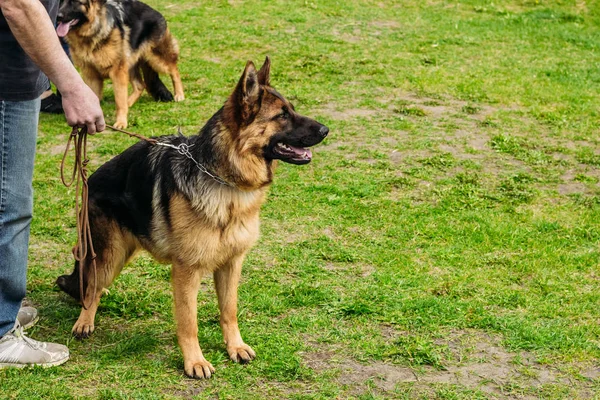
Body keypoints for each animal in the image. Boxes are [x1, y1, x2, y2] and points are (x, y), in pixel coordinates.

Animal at [55, 57, 328, 378]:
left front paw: (235, 347)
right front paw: (195, 362)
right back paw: (85, 321)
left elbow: (229, 310)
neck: (227, 182)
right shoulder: (187, 271)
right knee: (92, 287)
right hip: (110, 255)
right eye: (282, 116)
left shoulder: (232, 264)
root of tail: (91, 178)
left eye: (292, 109)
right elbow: (189, 322)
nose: (326, 129)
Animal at [56, 0, 184, 129]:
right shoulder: (91, 74)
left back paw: (179, 94)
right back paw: (129, 102)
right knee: (140, 85)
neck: (93, 30)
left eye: (76, 2)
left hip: (156, 58)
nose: (58, 17)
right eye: (61, 2)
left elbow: (119, 101)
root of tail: (154, 11)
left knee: (174, 70)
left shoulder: (117, 73)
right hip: (130, 64)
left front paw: (121, 122)